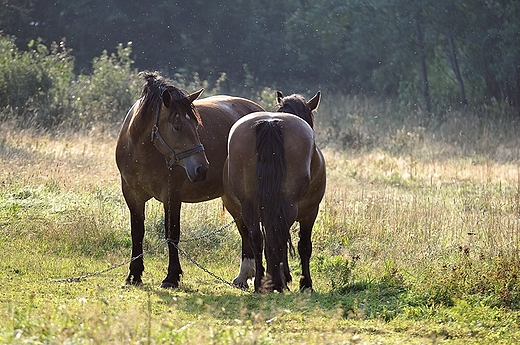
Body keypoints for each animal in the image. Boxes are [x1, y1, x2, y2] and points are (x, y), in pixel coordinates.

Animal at [117, 71, 264, 286]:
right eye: (177, 126)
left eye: (196, 124)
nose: (201, 168)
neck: (141, 151)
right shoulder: (132, 195)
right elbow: (137, 233)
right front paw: (134, 275)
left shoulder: (172, 196)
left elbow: (172, 234)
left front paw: (171, 277)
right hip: (231, 198)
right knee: (244, 228)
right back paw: (243, 276)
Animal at [222, 90, 324, 290]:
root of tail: (270, 123)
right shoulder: (310, 212)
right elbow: (304, 246)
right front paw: (305, 283)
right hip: (287, 206)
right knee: (278, 236)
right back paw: (277, 282)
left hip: (249, 206)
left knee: (257, 238)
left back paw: (261, 282)